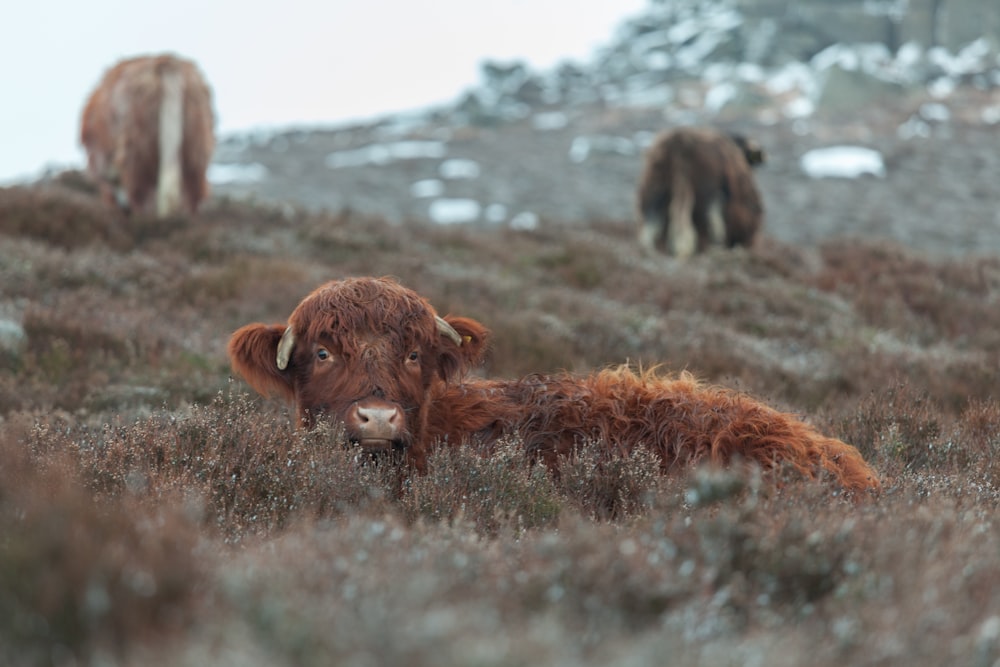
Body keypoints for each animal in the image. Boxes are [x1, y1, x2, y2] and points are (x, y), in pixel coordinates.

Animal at [79, 54, 215, 218]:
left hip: (137, 149)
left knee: (140, 196)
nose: (124, 208)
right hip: (196, 143)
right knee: (194, 193)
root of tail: (167, 62)